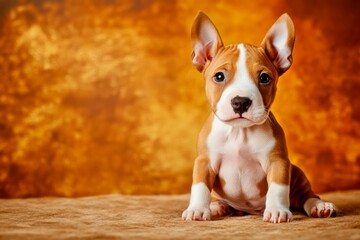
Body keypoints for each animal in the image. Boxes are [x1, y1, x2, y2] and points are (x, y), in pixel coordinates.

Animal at [183, 11, 338, 223]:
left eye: (264, 78)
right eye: (219, 77)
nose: (240, 102)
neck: (239, 132)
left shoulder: (278, 162)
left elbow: (278, 189)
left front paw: (277, 210)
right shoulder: (204, 162)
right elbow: (199, 187)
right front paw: (197, 209)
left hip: (297, 174)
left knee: (307, 196)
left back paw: (320, 206)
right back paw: (218, 207)